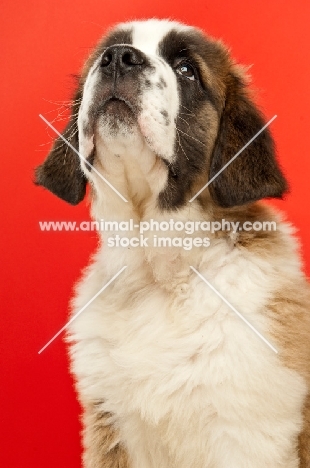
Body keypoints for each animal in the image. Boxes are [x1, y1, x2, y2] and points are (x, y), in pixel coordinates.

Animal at [35, 19, 308, 468]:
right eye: (104, 55)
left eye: (186, 71)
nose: (119, 58)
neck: (160, 273)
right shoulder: (110, 428)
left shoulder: (247, 435)